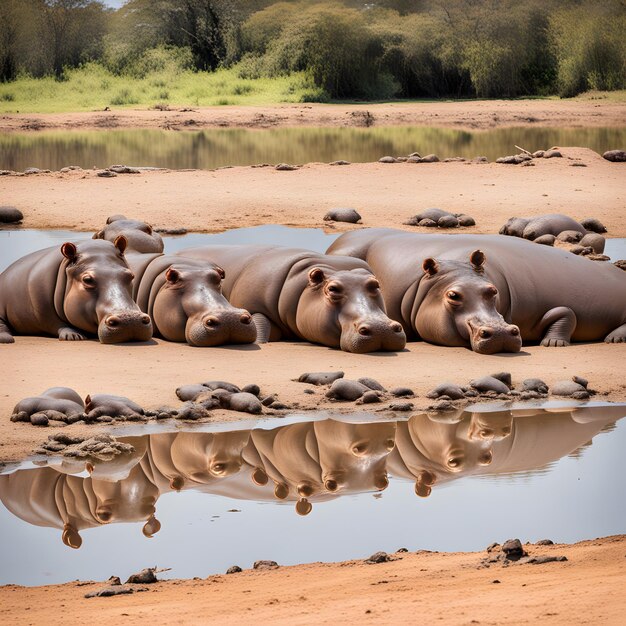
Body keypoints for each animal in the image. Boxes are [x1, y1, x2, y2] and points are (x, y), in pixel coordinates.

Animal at [0, 238, 152, 344]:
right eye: (87, 279)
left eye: (131, 275)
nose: (131, 320)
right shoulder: (43, 309)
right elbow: (56, 323)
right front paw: (73, 336)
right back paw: (6, 339)